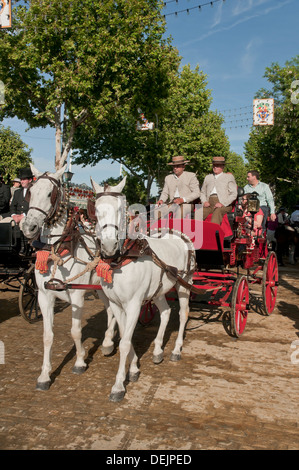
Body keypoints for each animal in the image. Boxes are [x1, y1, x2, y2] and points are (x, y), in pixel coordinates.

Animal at [22, 163, 116, 392]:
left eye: (50, 193)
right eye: (30, 192)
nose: (28, 227)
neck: (59, 249)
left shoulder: (77, 295)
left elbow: (75, 331)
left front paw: (80, 361)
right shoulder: (44, 296)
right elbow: (47, 336)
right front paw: (45, 375)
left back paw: (108, 342)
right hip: (101, 289)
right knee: (111, 311)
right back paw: (108, 342)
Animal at [91, 174, 197, 402]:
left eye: (121, 209)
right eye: (96, 209)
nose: (109, 246)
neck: (121, 260)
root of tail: (178, 234)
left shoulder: (133, 304)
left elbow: (124, 342)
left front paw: (118, 386)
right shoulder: (116, 304)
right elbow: (125, 336)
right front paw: (133, 368)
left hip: (185, 282)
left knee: (183, 314)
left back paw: (176, 350)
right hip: (159, 290)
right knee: (165, 312)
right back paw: (158, 350)